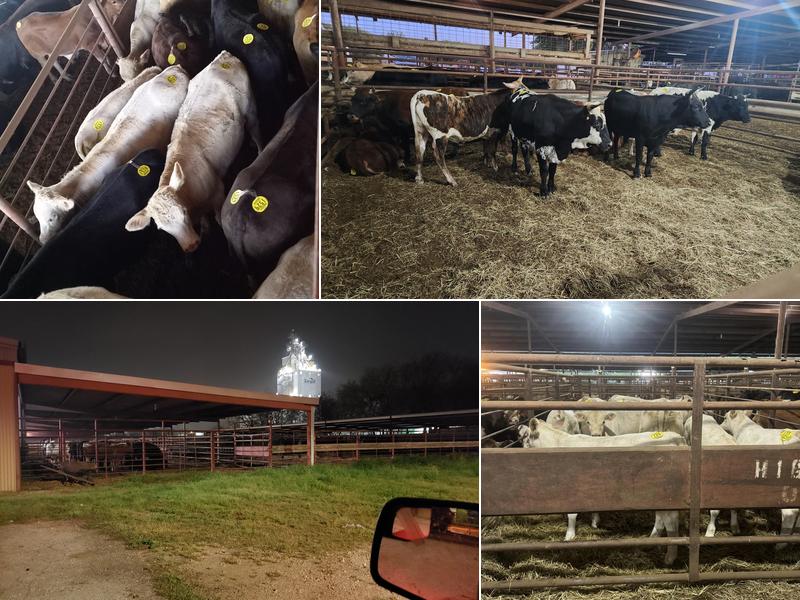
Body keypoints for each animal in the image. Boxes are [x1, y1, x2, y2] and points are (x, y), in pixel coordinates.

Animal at [126, 51, 259, 252]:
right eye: (162, 228)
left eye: (183, 213)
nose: (191, 246)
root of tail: (222, 56)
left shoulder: (218, 192)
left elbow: (219, 218)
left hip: (251, 109)